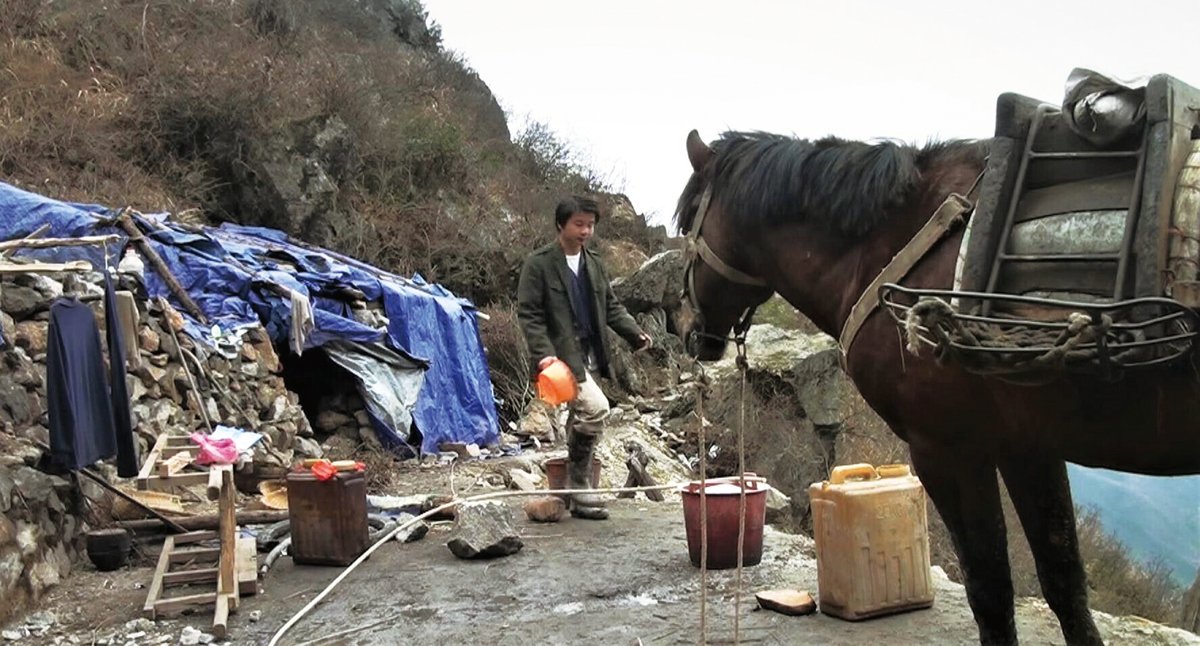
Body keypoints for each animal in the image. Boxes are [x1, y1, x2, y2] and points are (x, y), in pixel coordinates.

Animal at [676, 128, 1200, 638]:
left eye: (685, 226)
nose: (685, 329)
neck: (893, 244)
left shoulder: (949, 449)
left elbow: (990, 592)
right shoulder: (1027, 447)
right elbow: (1065, 584)